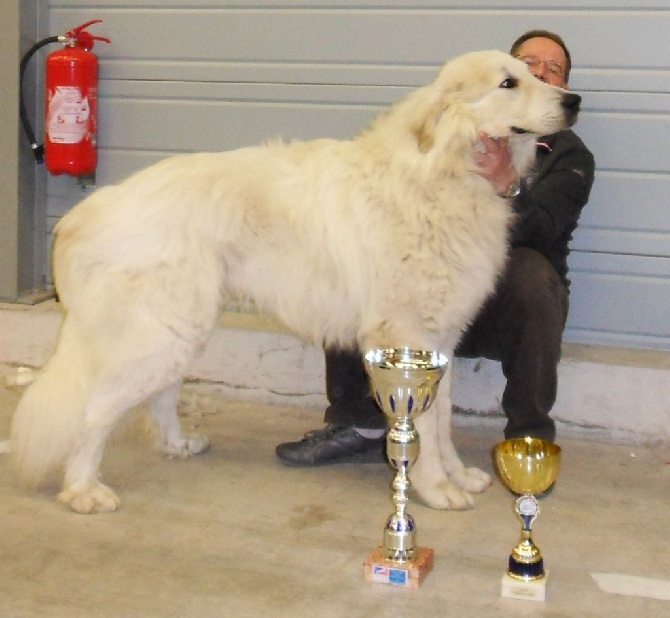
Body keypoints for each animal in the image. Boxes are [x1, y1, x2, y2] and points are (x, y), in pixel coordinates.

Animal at [9, 50, 584, 512]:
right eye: (509, 83)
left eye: (537, 74)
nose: (574, 100)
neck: (442, 173)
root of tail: (89, 211)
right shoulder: (405, 339)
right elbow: (422, 427)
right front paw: (436, 490)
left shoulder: (435, 341)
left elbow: (439, 424)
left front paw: (456, 477)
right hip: (161, 334)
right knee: (95, 410)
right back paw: (83, 489)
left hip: (180, 330)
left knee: (158, 396)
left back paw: (178, 445)